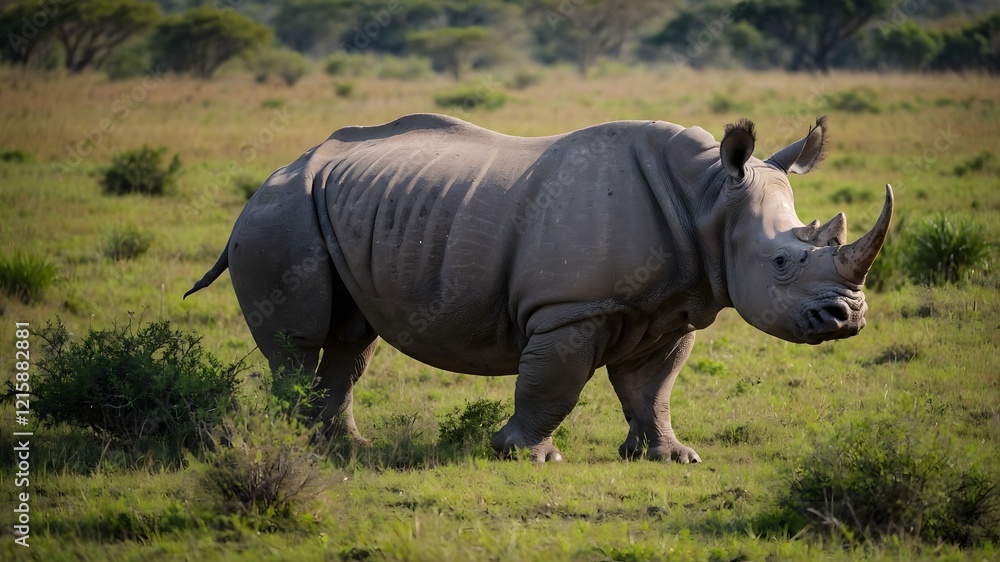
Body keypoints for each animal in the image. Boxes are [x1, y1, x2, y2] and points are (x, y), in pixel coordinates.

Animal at [185, 113, 892, 463]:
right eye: (781, 262)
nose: (847, 318)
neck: (708, 199)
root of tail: (270, 177)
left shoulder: (674, 306)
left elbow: (653, 388)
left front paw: (670, 457)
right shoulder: (568, 309)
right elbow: (554, 382)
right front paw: (526, 457)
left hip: (339, 210)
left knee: (351, 342)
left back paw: (344, 448)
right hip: (280, 216)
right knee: (299, 342)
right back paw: (294, 444)